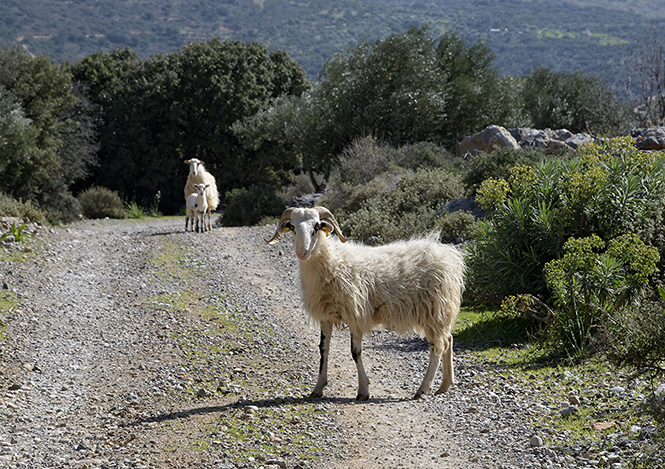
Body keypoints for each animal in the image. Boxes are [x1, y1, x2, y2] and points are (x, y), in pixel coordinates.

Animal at [266, 205, 466, 398]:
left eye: (316, 227)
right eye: (292, 227)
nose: (302, 252)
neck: (332, 261)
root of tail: (448, 255)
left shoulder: (355, 313)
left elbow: (355, 352)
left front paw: (363, 390)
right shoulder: (326, 316)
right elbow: (323, 349)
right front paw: (318, 388)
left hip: (435, 309)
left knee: (437, 347)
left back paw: (423, 389)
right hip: (436, 312)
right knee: (448, 340)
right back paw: (445, 385)